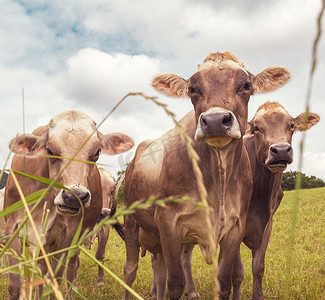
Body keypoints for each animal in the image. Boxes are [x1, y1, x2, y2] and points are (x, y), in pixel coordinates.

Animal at [3, 110, 133, 300]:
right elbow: (16, 284)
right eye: (50, 150)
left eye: (97, 152)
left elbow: (54, 279)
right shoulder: (13, 228)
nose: (74, 196)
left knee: (72, 268)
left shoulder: (69, 234)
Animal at [121, 52, 288, 300]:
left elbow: (224, 283)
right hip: (132, 220)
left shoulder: (236, 226)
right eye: (192, 88)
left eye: (246, 85)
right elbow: (175, 283)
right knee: (131, 270)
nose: (216, 121)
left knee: (159, 271)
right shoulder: (168, 222)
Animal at [230, 102, 318, 298]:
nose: (281, 150)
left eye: (291, 125)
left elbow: (258, 267)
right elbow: (237, 272)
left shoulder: (267, 224)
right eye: (257, 128)